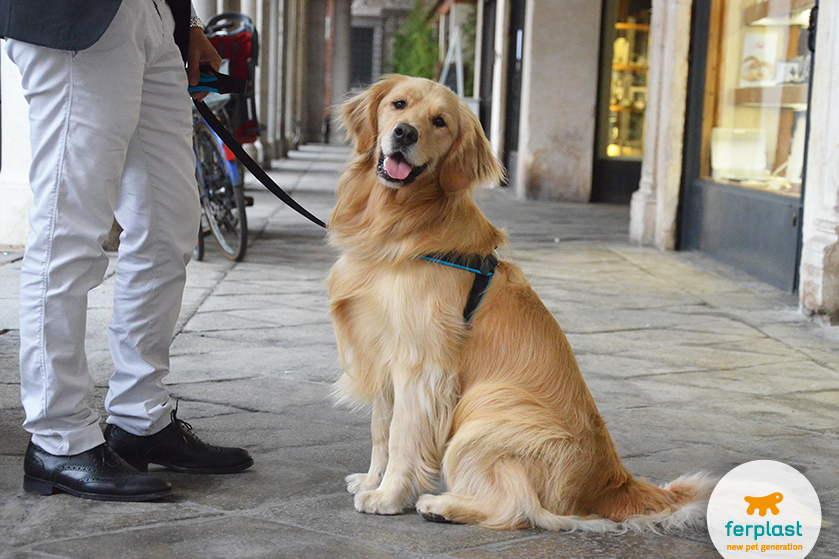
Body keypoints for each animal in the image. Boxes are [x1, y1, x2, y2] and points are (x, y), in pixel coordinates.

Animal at [324, 75, 712, 532]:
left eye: (440, 121)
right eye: (398, 104)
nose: (405, 133)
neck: (395, 220)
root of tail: (610, 484)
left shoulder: (420, 366)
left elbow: (402, 435)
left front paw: (388, 496)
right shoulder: (385, 354)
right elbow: (380, 430)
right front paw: (372, 480)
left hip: (484, 410)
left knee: (522, 509)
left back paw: (443, 505)